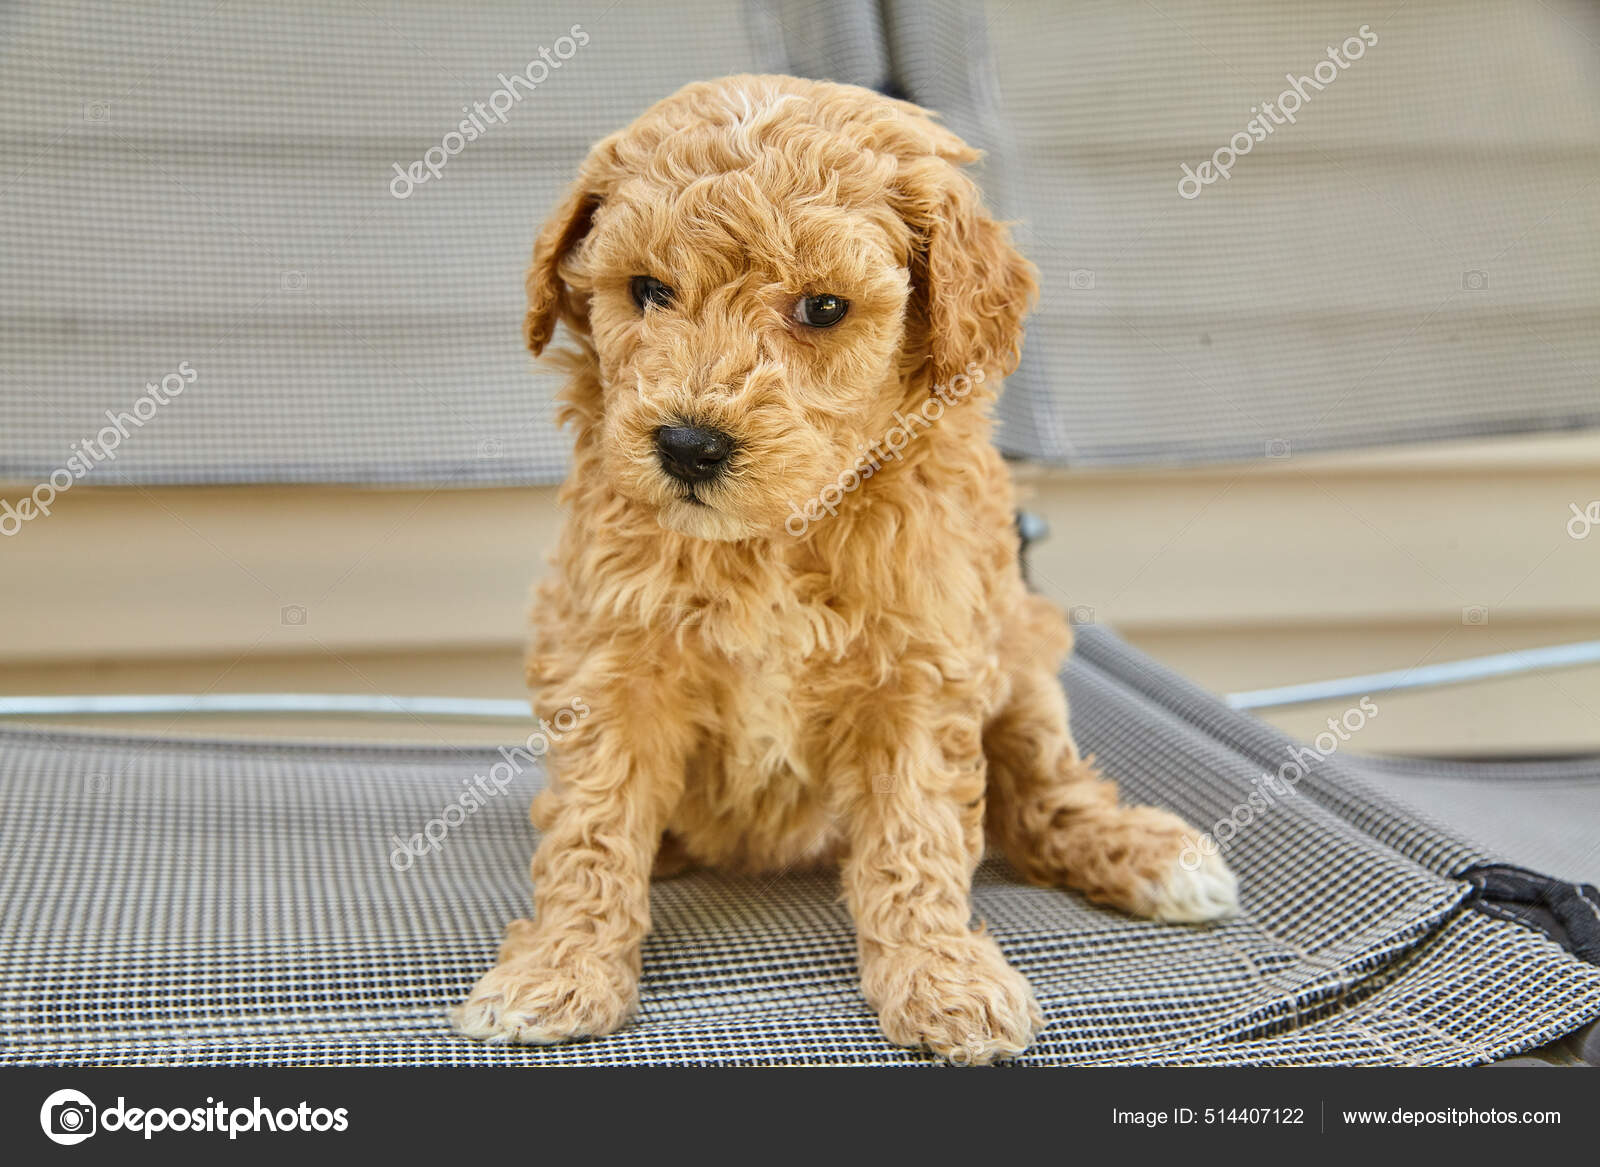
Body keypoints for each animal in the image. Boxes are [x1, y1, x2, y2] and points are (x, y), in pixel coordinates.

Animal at [451, 70, 1235, 1056]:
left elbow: (917, 831)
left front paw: (940, 977)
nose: (689, 445)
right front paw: (560, 967)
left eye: (823, 307)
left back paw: (1148, 855)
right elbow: (592, 825)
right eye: (647, 290)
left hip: (1019, 649)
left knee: (1042, 788)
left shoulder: (923, 668)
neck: (772, 540)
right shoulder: (610, 654)